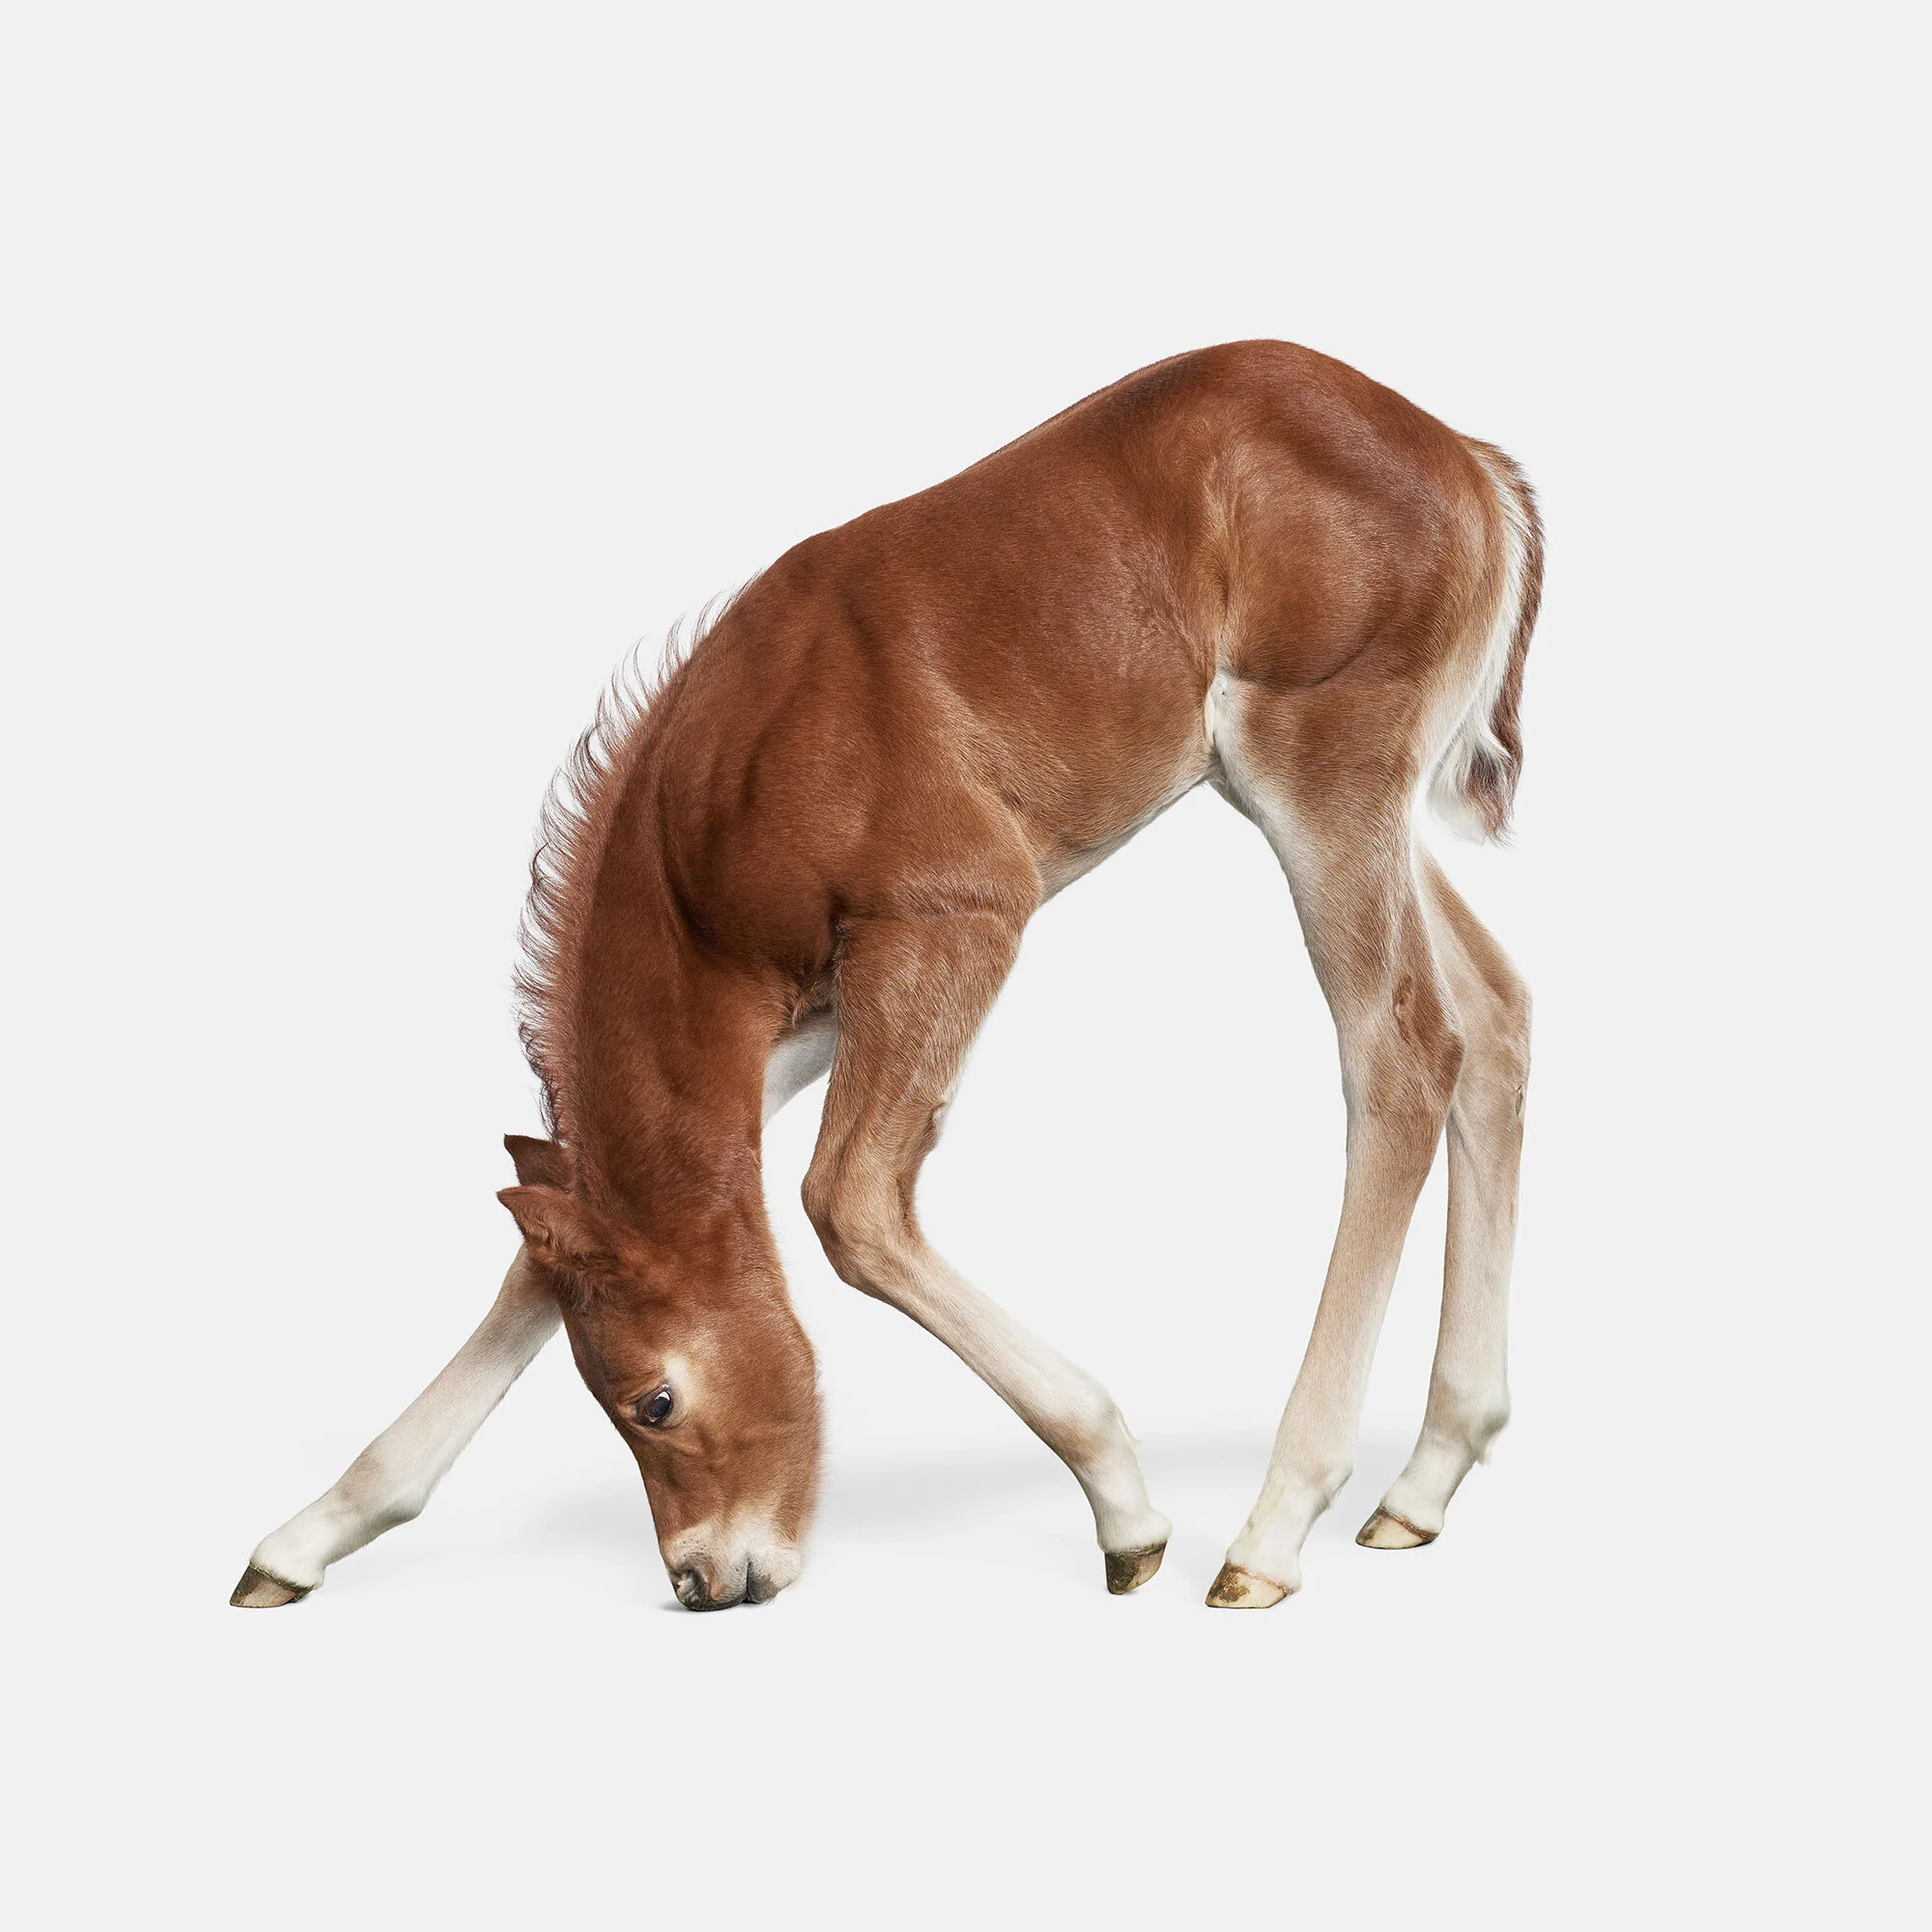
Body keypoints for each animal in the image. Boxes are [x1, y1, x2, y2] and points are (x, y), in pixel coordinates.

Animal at [232, 339, 1541, 1613]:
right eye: (609, 1400)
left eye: (655, 1399)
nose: (704, 1581)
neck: (710, 817)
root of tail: (1465, 459)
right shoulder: (799, 1014)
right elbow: (531, 1267)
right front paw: (302, 1540)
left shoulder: (951, 917)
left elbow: (846, 1200)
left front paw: (1124, 1508)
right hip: (1334, 795)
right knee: (1493, 1015)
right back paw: (1423, 1478)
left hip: (1316, 769)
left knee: (1402, 1050)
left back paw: (1271, 1529)